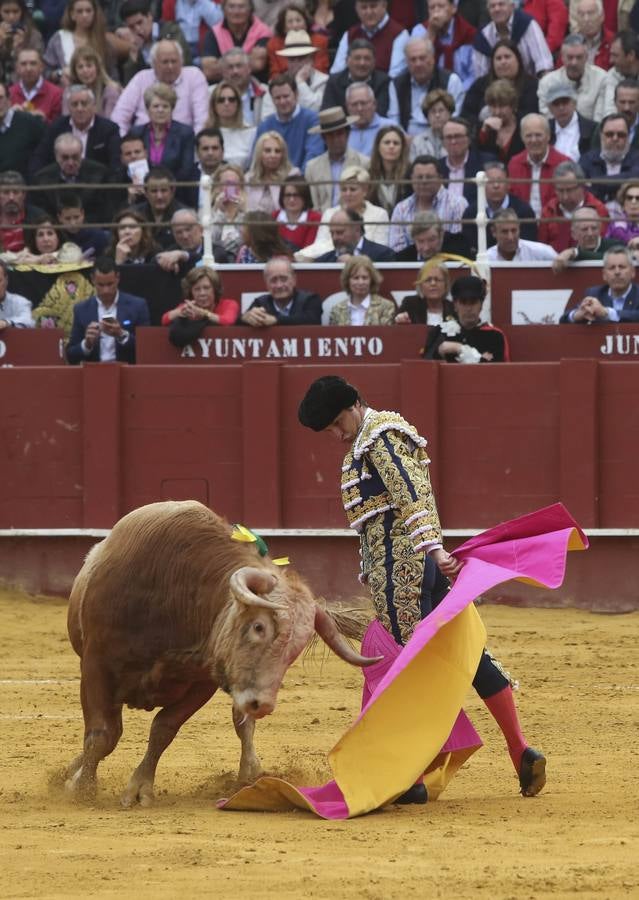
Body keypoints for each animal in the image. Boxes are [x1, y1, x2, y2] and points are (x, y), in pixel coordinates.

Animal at [66, 500, 376, 808]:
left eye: (294, 650)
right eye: (258, 627)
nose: (262, 704)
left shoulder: (204, 681)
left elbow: (163, 729)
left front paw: (139, 788)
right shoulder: (96, 665)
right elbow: (102, 735)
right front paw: (81, 787)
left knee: (242, 724)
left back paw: (250, 774)